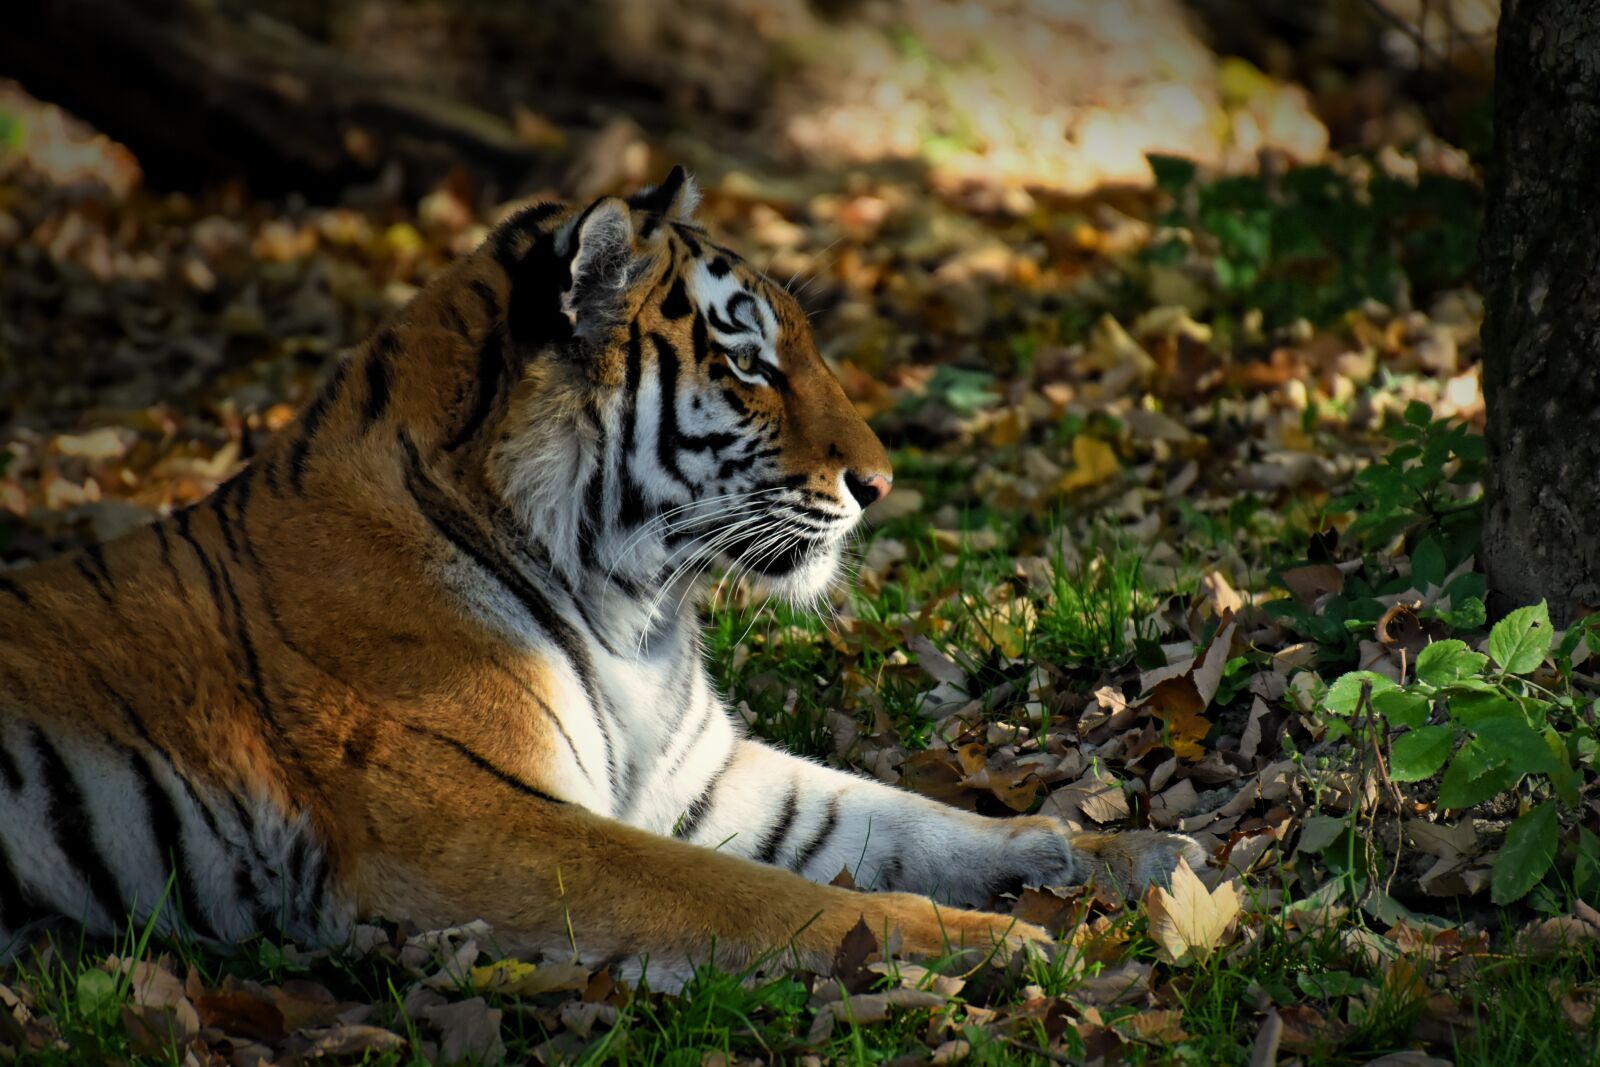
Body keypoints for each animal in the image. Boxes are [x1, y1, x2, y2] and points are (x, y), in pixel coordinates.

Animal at [0, 167, 1203, 982]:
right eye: (750, 363)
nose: (881, 480)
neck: (635, 613)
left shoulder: (702, 775)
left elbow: (904, 819)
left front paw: (1128, 852)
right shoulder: (479, 825)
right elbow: (763, 897)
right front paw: (998, 944)